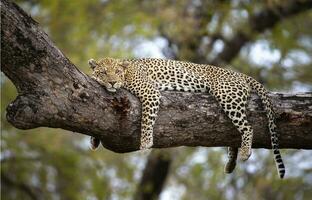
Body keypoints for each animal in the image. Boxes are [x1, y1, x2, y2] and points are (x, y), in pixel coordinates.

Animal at [87, 57, 286, 178]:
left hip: (226, 95)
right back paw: (230, 164)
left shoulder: (150, 92)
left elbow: (146, 120)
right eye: (103, 72)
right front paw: (94, 140)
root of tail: (240, 74)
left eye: (116, 72)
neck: (126, 71)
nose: (112, 82)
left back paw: (245, 153)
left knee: (247, 127)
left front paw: (145, 144)